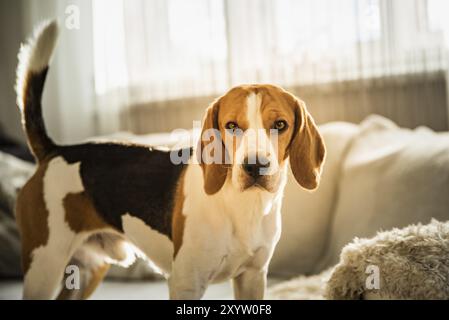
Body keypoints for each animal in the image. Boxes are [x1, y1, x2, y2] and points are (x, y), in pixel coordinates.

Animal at [15, 20, 324, 300]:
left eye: (280, 124)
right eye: (232, 125)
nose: (255, 166)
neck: (241, 205)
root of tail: (55, 150)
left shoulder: (252, 277)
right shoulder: (186, 282)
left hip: (88, 270)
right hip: (44, 266)